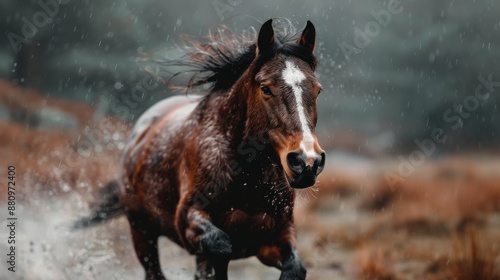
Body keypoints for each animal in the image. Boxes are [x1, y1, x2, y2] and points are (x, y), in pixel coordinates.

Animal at [74, 19, 324, 280]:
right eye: (266, 88)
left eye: (317, 89)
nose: (307, 162)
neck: (246, 177)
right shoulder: (188, 221)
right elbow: (220, 247)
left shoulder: (275, 237)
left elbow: (295, 267)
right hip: (142, 232)